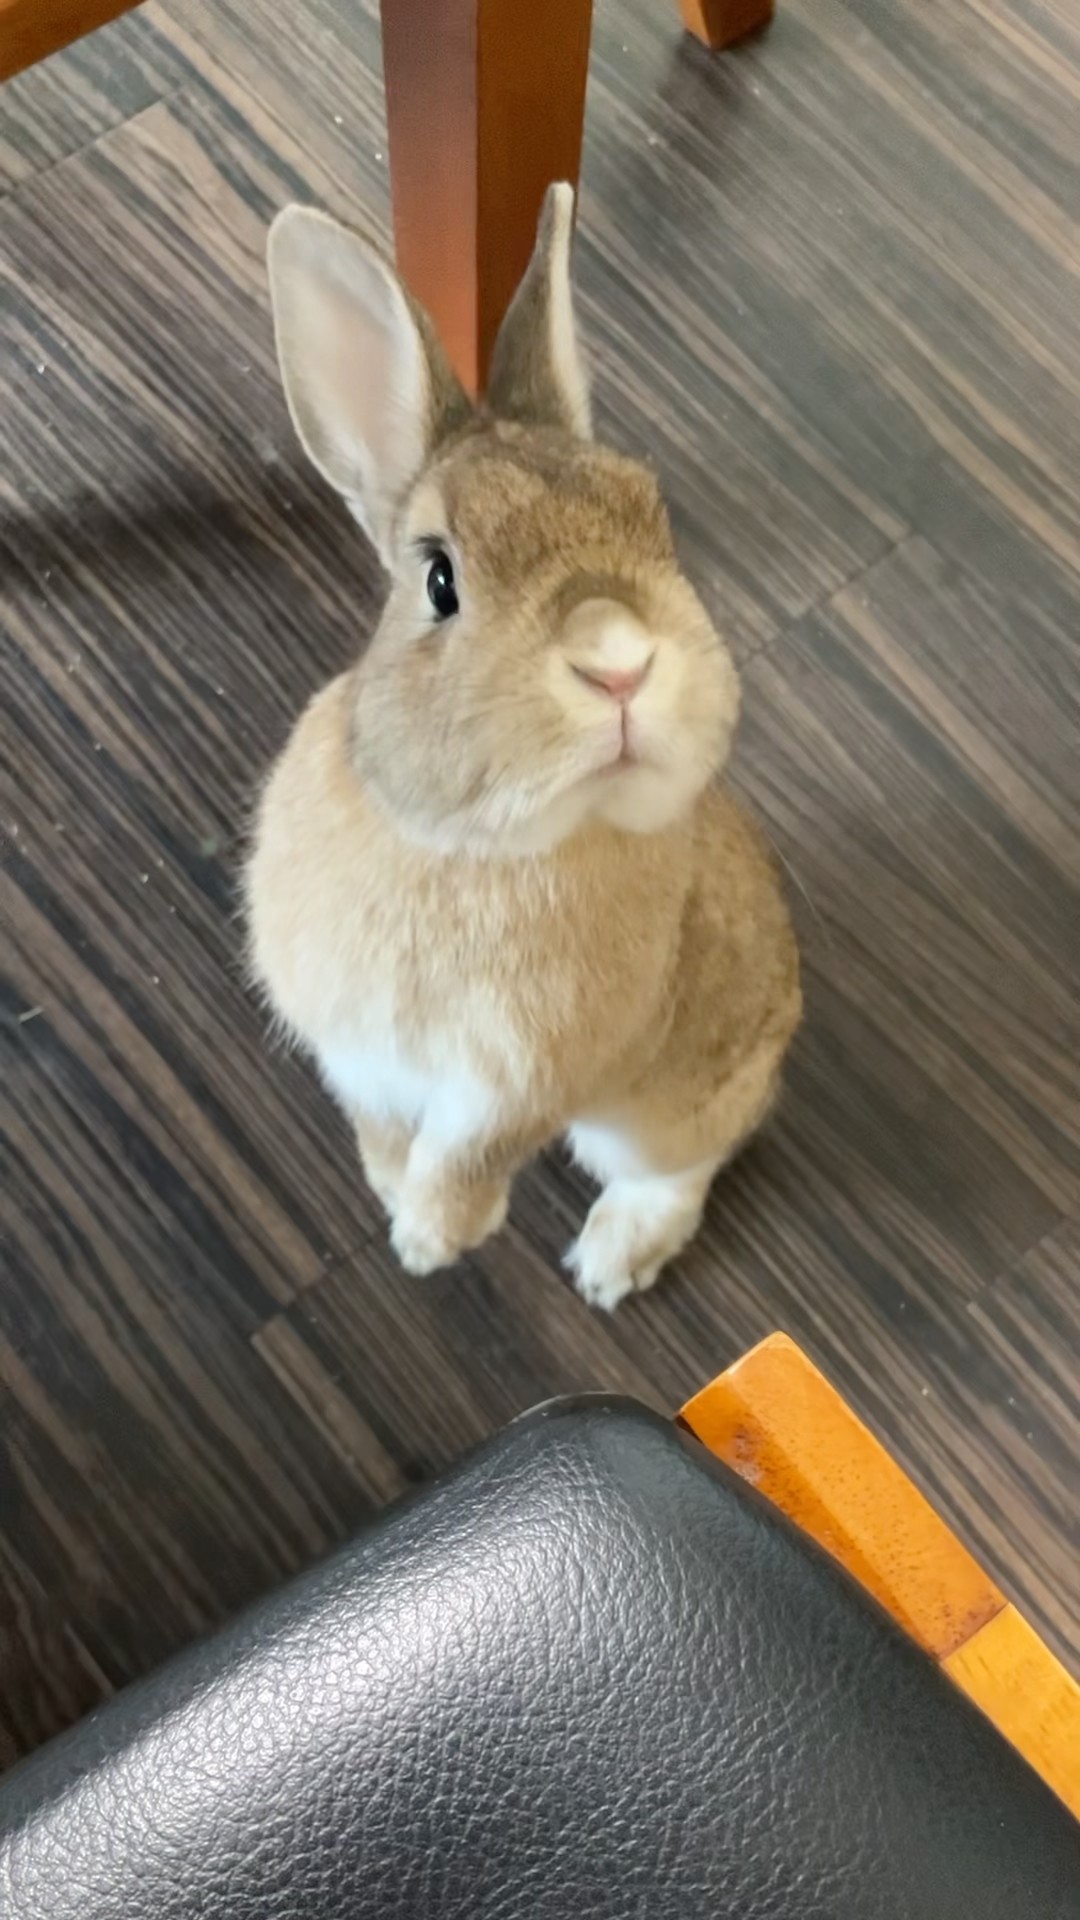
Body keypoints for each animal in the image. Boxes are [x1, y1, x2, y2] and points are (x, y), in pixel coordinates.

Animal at [245, 182, 801, 1311]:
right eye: (439, 578)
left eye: (656, 524)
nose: (618, 660)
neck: (469, 848)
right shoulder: (358, 1057)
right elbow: (385, 1132)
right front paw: (395, 1200)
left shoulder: (531, 1082)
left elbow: (475, 1153)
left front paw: (432, 1240)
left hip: (669, 1103)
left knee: (683, 1166)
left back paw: (611, 1265)